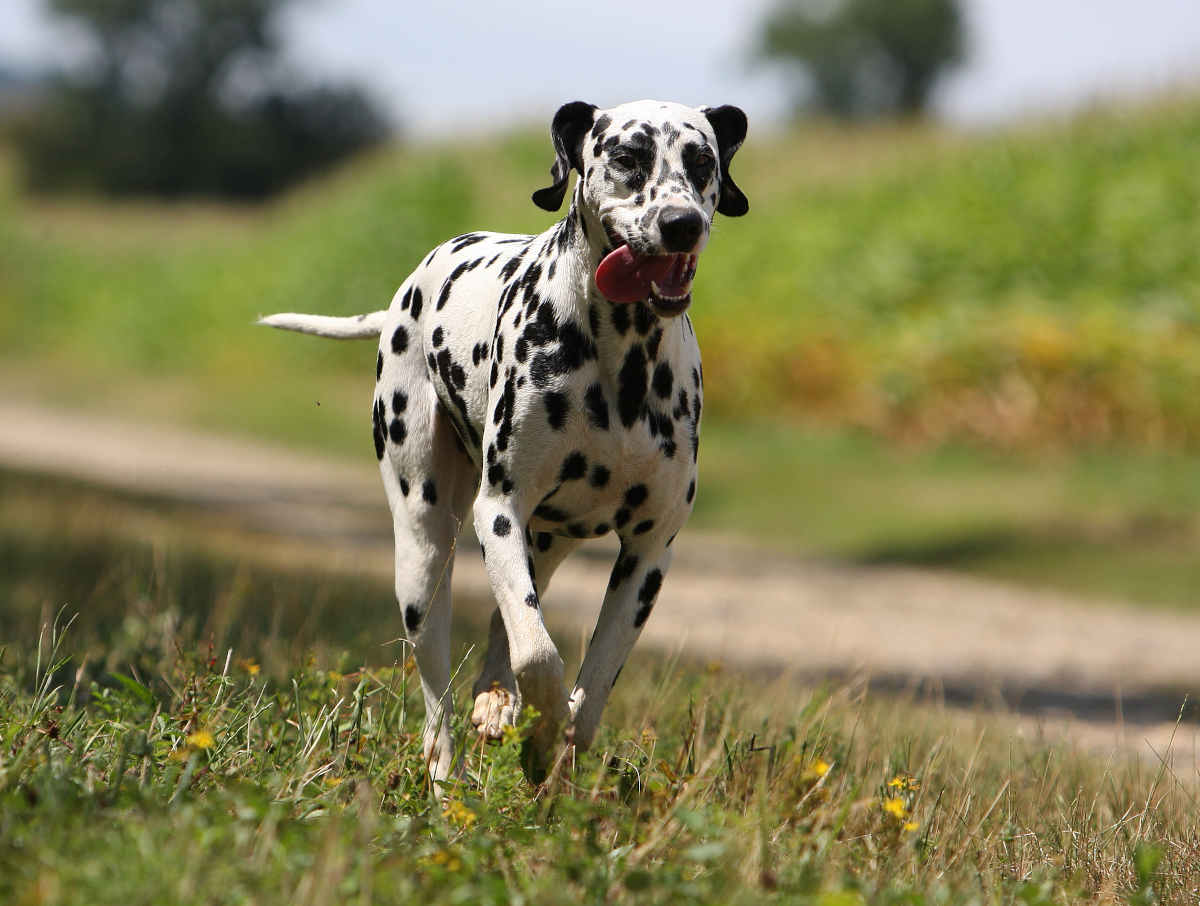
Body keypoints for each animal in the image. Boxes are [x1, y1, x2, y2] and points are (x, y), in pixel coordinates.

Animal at [264, 97, 748, 777]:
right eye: (628, 157)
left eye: (702, 161)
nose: (681, 223)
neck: (623, 363)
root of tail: (407, 291)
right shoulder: (499, 512)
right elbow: (539, 657)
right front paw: (540, 729)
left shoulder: (649, 554)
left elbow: (590, 691)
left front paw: (554, 748)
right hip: (425, 552)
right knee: (440, 696)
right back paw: (448, 767)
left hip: (546, 544)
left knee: (507, 622)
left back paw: (495, 700)